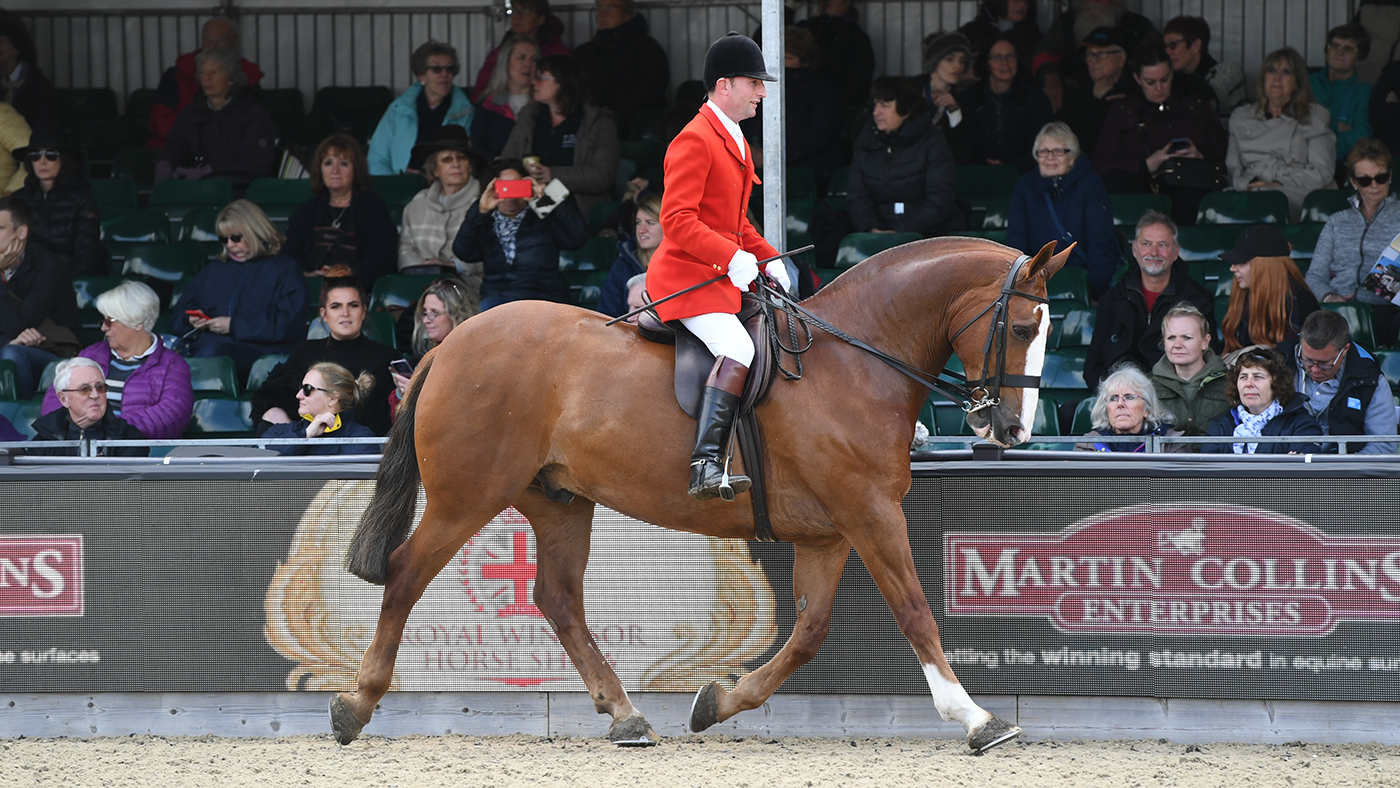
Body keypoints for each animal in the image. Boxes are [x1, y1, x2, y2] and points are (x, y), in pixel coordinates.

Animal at [330, 236, 1070, 752]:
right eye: (1022, 329)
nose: (1013, 429)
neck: (855, 361)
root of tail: (452, 344)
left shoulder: (829, 532)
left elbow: (809, 634)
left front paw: (717, 702)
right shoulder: (870, 513)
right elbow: (915, 611)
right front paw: (975, 718)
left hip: (559, 501)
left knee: (558, 599)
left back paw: (627, 716)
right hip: (469, 494)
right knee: (406, 573)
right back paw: (355, 704)